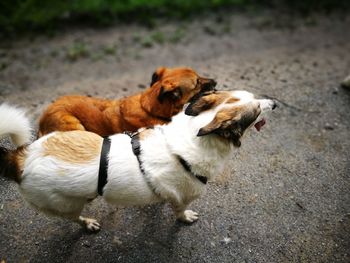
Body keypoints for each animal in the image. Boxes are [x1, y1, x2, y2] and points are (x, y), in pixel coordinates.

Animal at [0, 91, 276, 231]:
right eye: (255, 111)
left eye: (255, 97)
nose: (274, 102)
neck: (194, 135)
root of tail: (21, 156)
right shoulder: (182, 197)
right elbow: (179, 211)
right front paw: (184, 218)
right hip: (63, 205)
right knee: (73, 217)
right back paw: (87, 222)